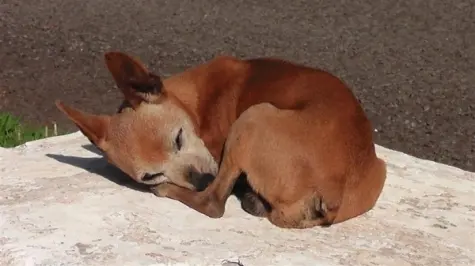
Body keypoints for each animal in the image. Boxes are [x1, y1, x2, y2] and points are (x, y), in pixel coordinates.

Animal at [57, 52, 388, 229]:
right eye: (151, 174)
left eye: (178, 138)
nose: (201, 179)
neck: (194, 101)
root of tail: (333, 193)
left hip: (253, 117)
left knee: (212, 204)